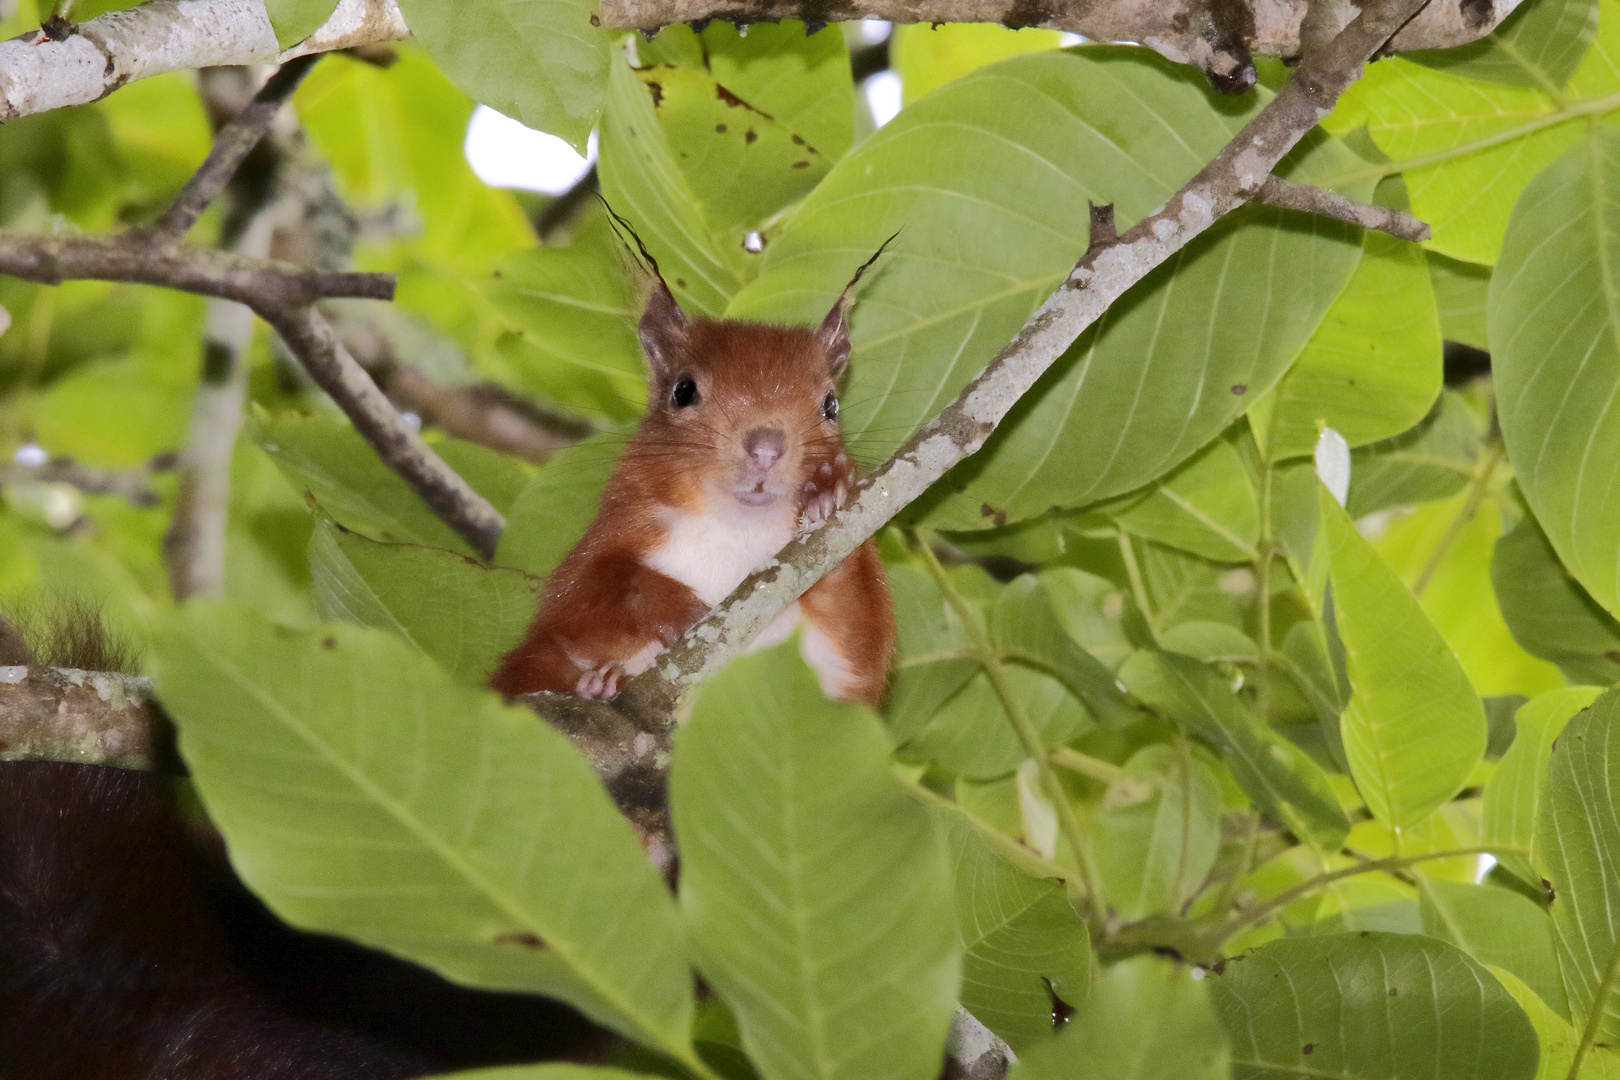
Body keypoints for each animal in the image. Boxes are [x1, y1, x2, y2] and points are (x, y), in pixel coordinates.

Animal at [492, 241, 900, 705]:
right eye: (682, 391)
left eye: (831, 405)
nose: (766, 446)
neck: (735, 528)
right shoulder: (611, 536)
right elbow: (592, 592)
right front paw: (678, 609)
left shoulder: (841, 671)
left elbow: (859, 627)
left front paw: (828, 486)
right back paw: (599, 683)